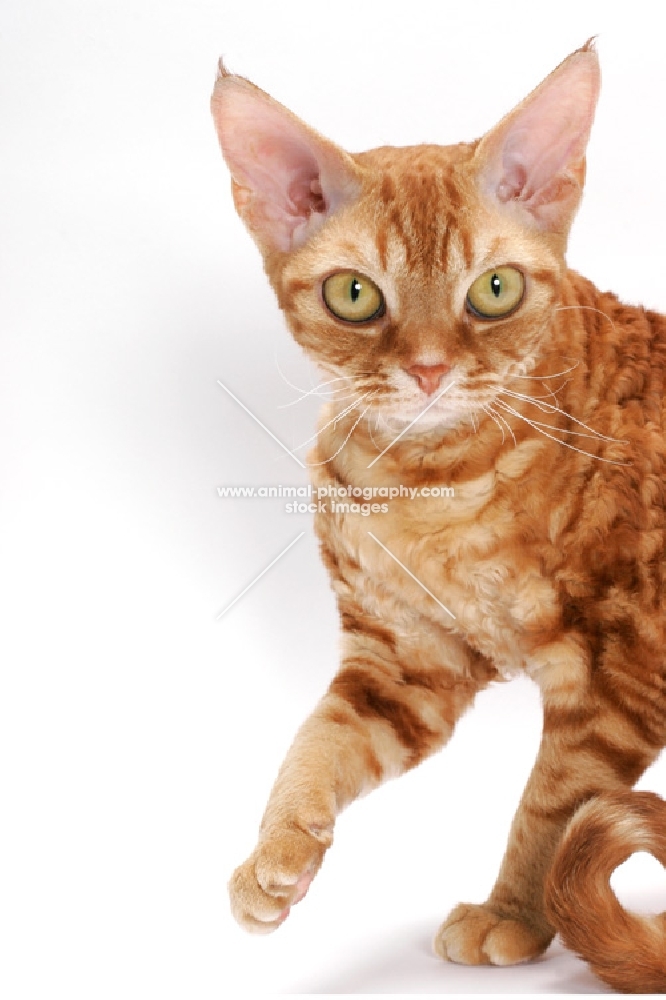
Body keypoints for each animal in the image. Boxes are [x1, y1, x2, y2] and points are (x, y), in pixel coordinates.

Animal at [210, 41, 664, 992]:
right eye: (354, 295)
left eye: (493, 289)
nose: (426, 369)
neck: (431, 485)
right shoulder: (405, 660)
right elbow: (318, 739)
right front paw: (276, 851)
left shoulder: (619, 674)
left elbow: (554, 807)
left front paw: (516, 913)